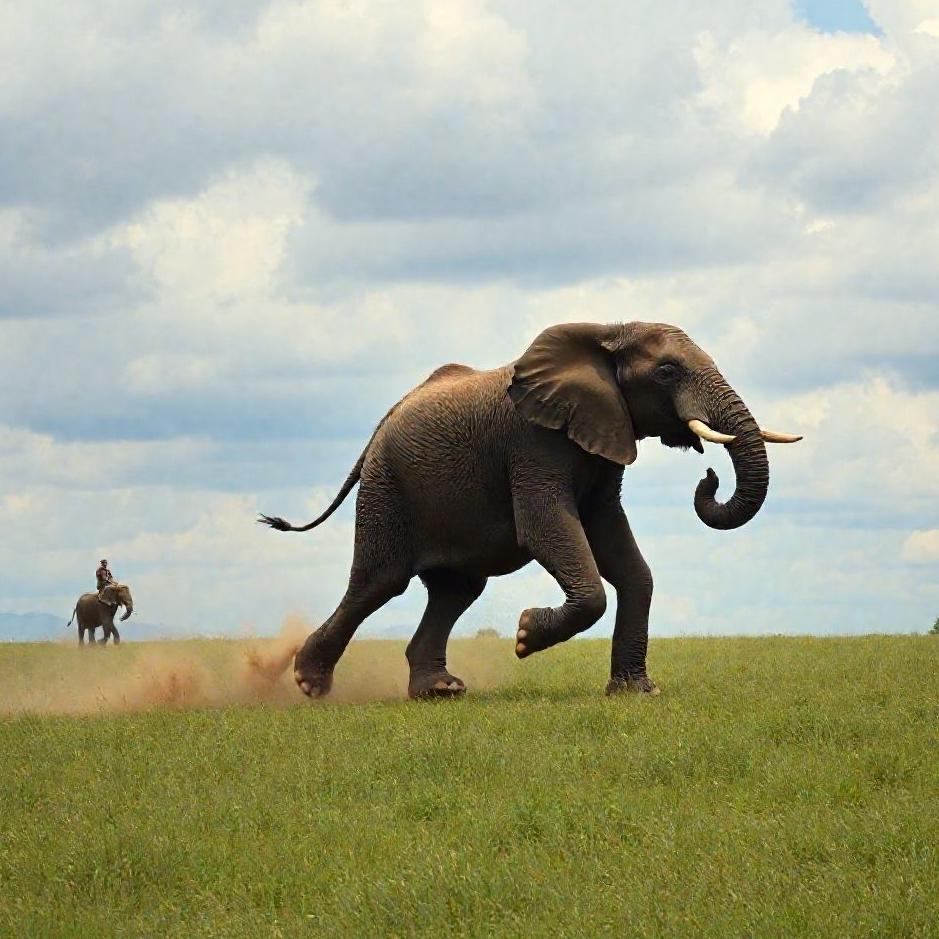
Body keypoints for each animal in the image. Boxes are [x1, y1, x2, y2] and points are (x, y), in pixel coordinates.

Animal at [260, 321, 800, 699]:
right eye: (667, 371)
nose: (708, 477)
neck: (607, 331)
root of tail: (384, 421)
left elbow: (625, 557)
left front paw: (636, 693)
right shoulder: (533, 444)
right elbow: (544, 530)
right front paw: (523, 636)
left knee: (456, 590)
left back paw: (438, 691)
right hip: (388, 487)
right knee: (378, 584)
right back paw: (307, 683)